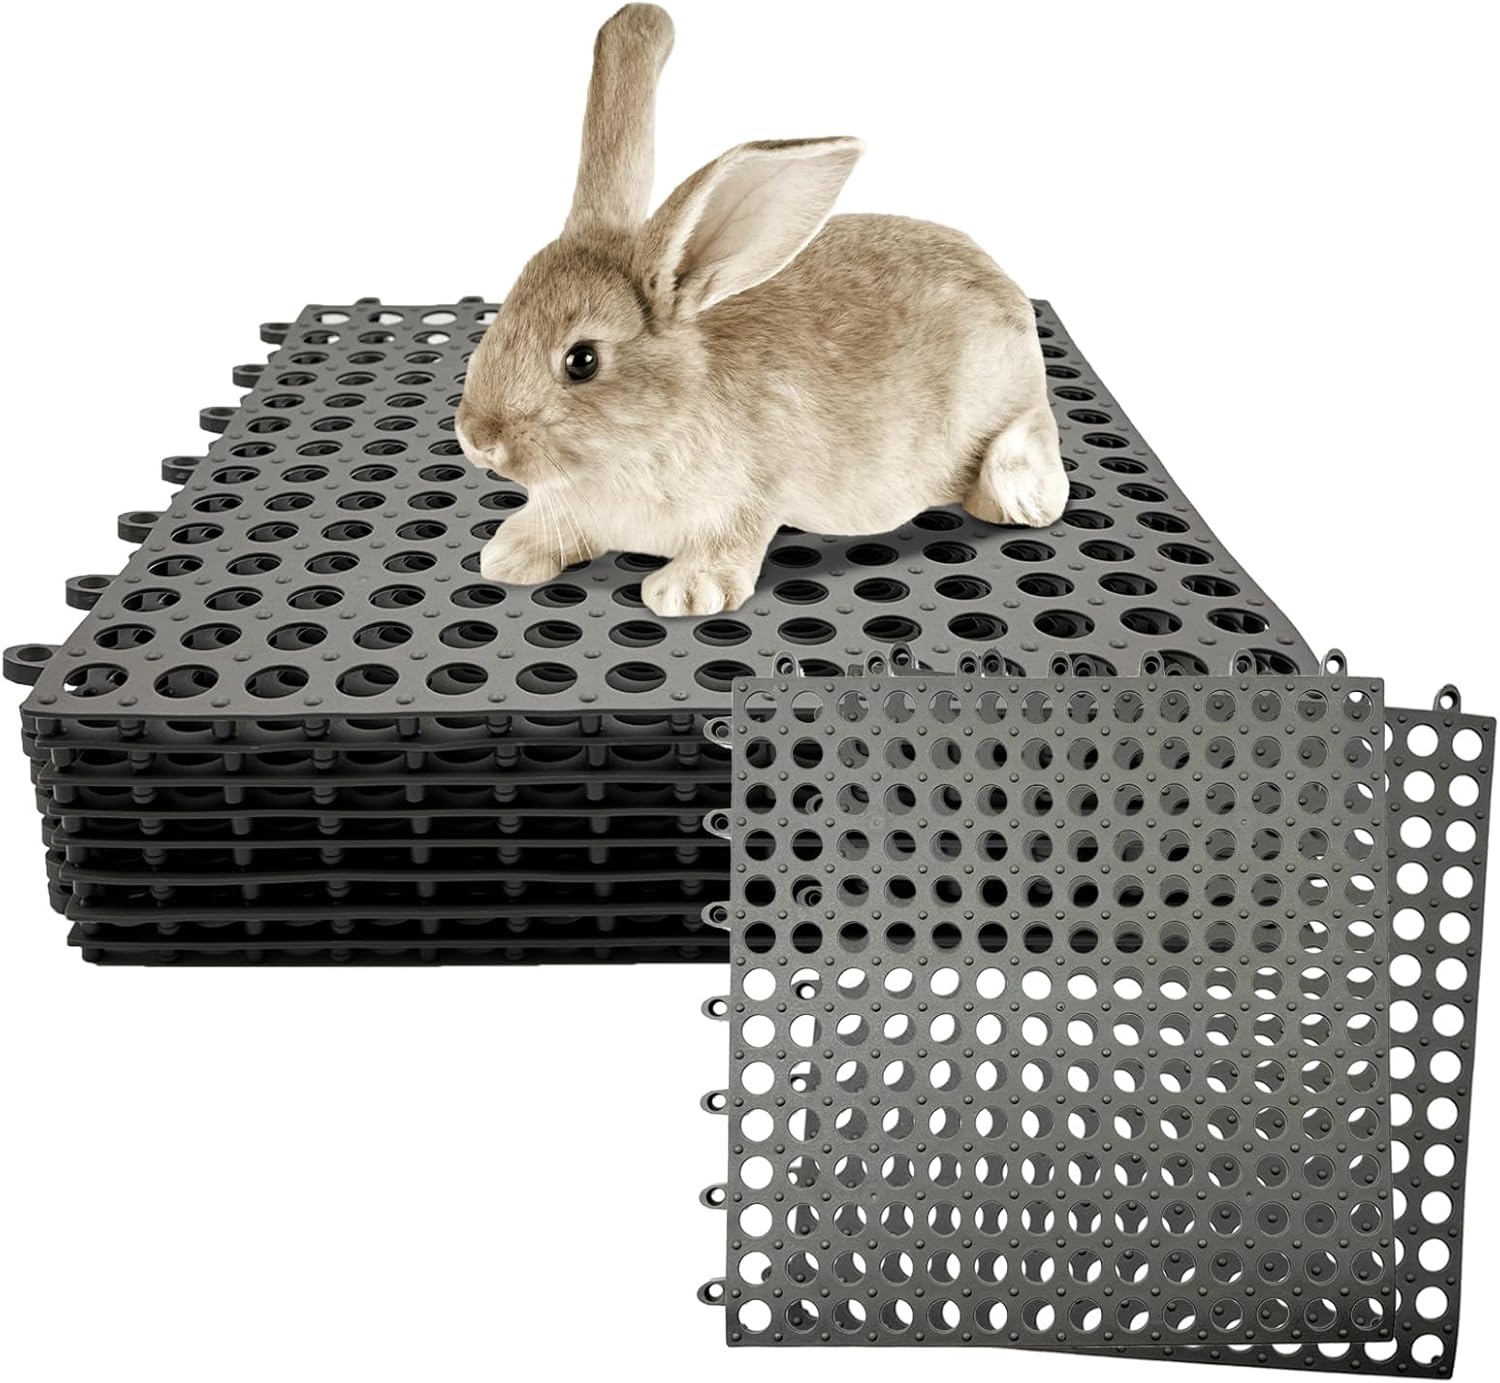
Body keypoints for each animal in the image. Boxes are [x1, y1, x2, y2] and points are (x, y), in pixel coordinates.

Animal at [455, 3, 1067, 618]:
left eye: (581, 360)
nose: (477, 438)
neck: (659, 423)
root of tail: (1001, 281)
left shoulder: (745, 499)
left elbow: (731, 540)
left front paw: (685, 592)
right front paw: (510, 552)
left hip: (1005, 396)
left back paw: (1018, 495)